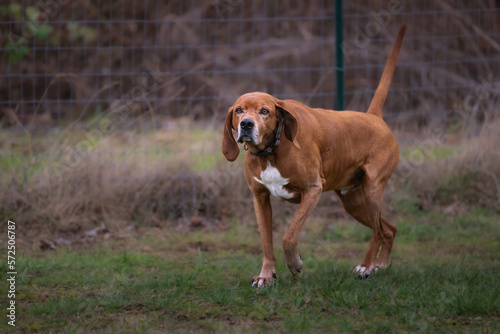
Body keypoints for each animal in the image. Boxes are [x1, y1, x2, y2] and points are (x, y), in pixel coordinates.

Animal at [223, 26, 406, 288]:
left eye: (264, 111)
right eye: (239, 110)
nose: (246, 124)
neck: (271, 151)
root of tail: (374, 117)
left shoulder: (312, 190)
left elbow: (288, 237)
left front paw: (295, 264)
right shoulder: (260, 198)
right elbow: (267, 242)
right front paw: (266, 276)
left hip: (372, 191)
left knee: (377, 232)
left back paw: (366, 266)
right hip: (353, 202)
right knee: (388, 229)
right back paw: (380, 265)